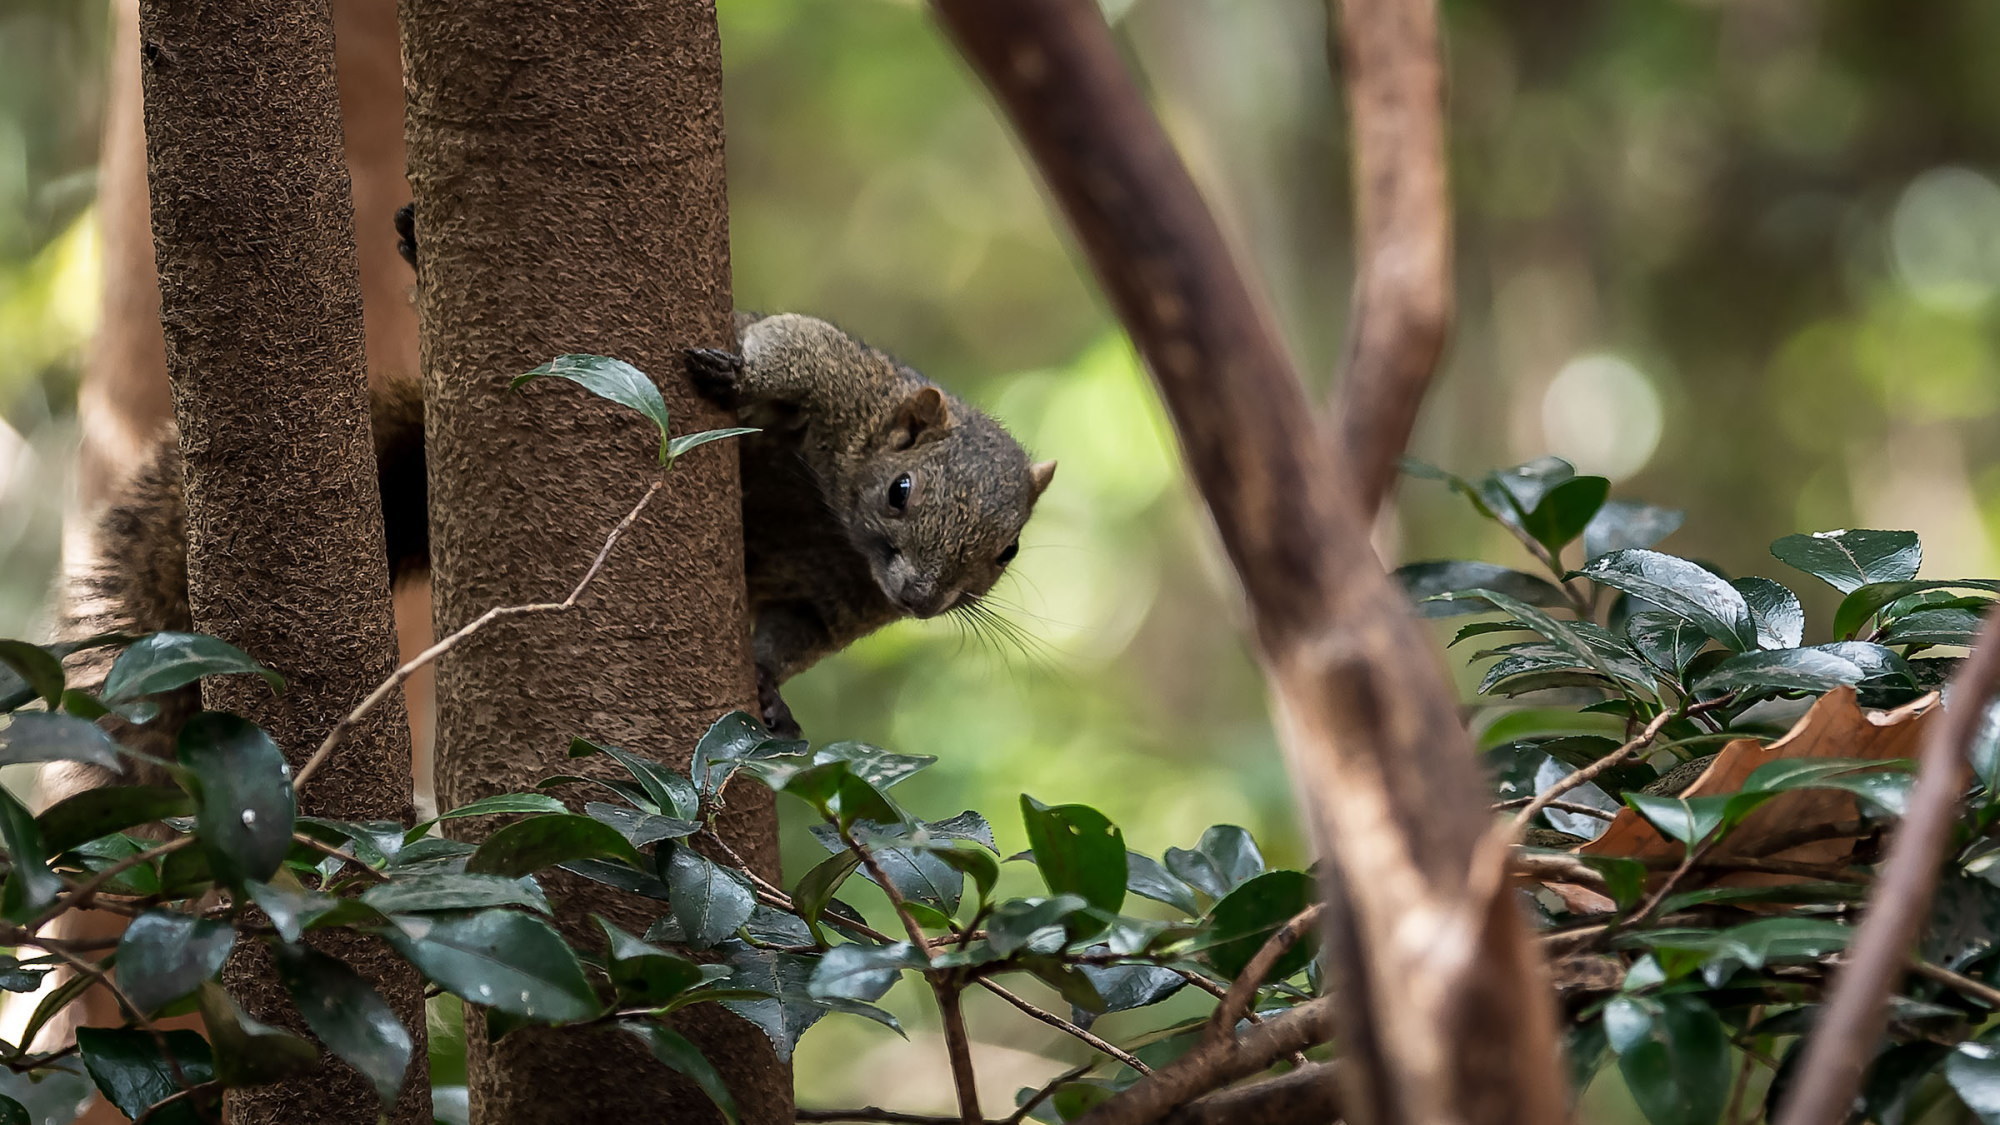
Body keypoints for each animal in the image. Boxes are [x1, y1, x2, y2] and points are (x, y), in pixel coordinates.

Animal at [68, 208, 1056, 736]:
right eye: (901, 491)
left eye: (1006, 553)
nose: (924, 597)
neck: (838, 531)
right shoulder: (846, 386)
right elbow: (789, 348)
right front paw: (737, 375)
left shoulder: (840, 602)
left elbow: (787, 639)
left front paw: (769, 691)